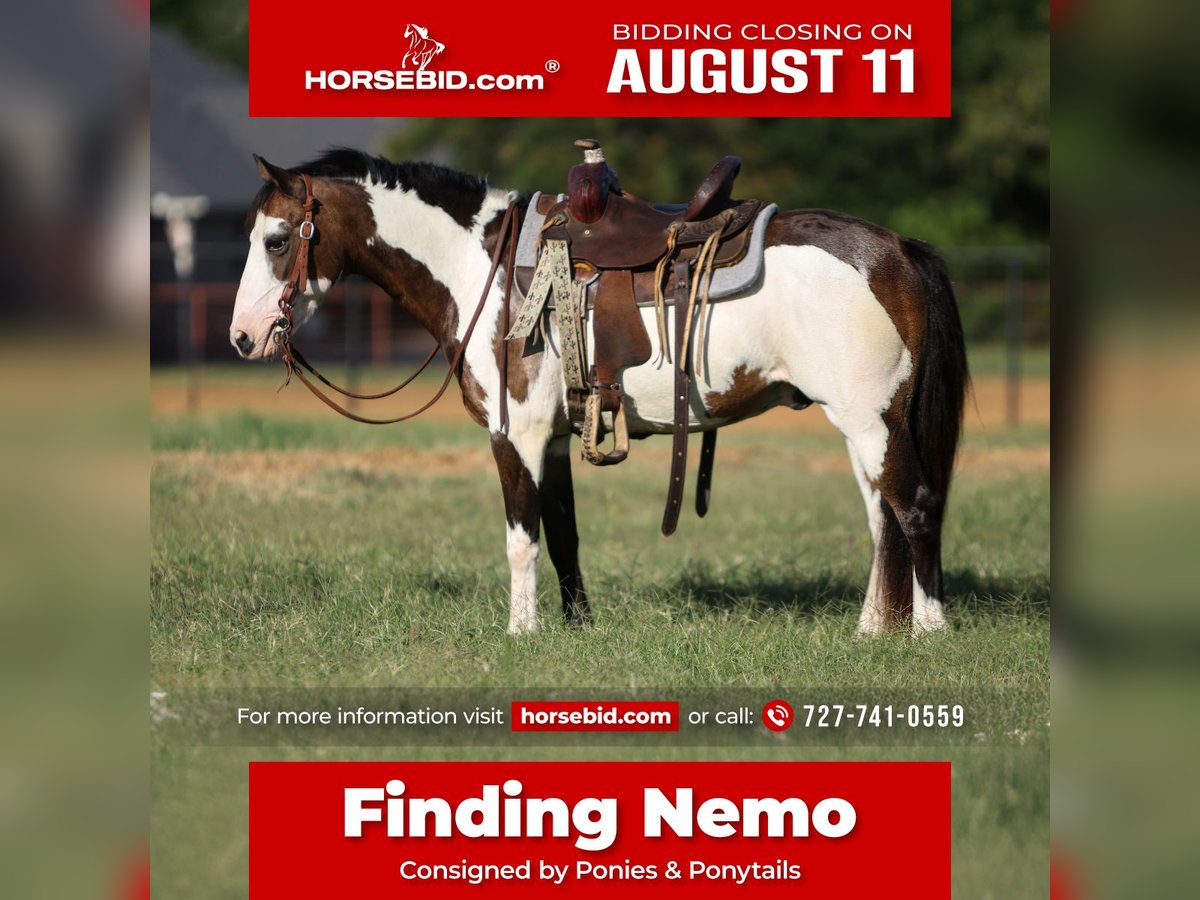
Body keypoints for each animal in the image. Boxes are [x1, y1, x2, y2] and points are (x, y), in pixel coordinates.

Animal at [229, 148, 968, 637]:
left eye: (276, 239)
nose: (242, 335)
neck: (481, 267)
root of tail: (897, 247)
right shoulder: (555, 439)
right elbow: (564, 536)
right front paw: (576, 628)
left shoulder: (516, 434)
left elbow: (521, 537)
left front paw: (520, 634)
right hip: (865, 426)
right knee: (881, 518)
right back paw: (872, 629)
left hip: (872, 421)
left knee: (914, 507)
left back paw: (929, 632)